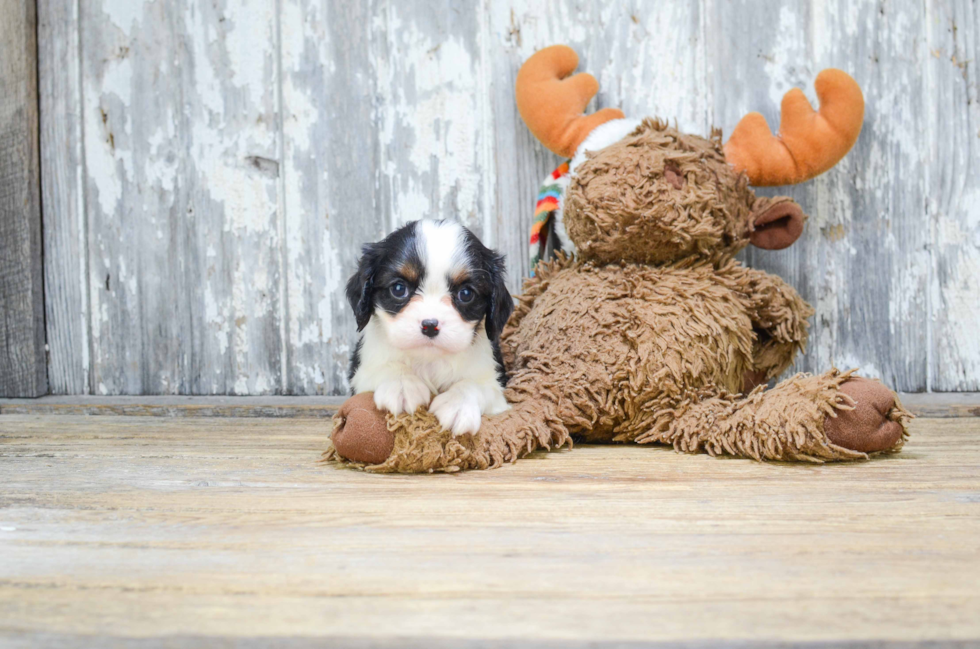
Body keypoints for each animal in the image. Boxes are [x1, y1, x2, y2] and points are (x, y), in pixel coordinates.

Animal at [344, 219, 512, 436]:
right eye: (399, 289)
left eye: (466, 293)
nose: (430, 326)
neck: (429, 359)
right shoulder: (361, 373)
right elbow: (388, 367)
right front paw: (402, 385)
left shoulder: (495, 387)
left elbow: (474, 384)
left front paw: (458, 404)